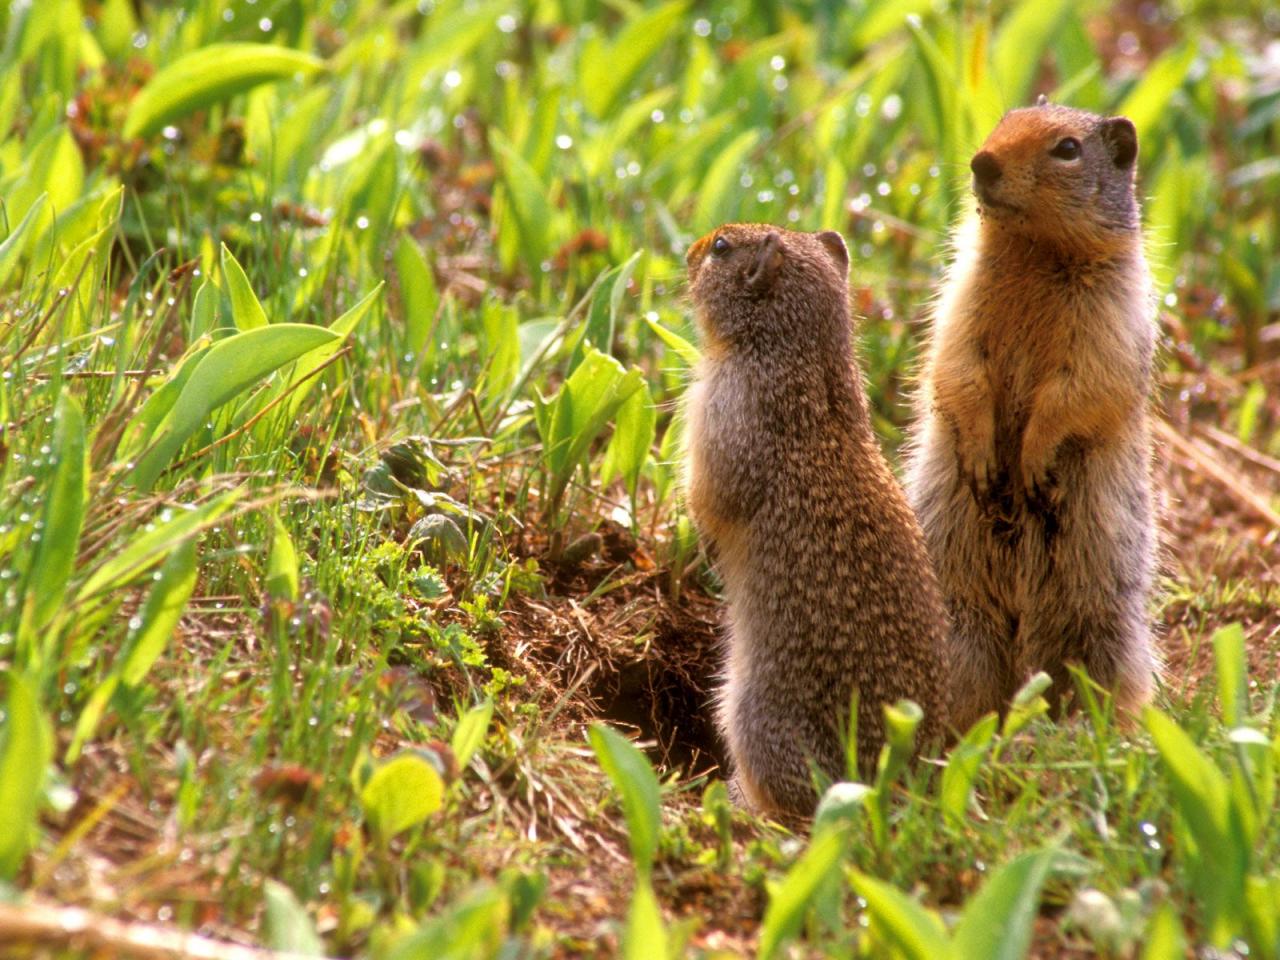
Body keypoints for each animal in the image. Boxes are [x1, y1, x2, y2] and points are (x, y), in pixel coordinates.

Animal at [686, 225, 947, 819]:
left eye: (721, 248)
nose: (688, 254)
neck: (799, 349)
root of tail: (897, 788)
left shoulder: (722, 419)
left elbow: (709, 498)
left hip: (753, 714)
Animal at [906, 101, 1167, 727]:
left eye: (1067, 148)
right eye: (1005, 120)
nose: (981, 162)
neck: (1034, 253)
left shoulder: (1110, 318)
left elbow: (1078, 389)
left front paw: (1033, 462)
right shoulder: (961, 296)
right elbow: (957, 365)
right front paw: (982, 459)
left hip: (1102, 626)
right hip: (958, 617)